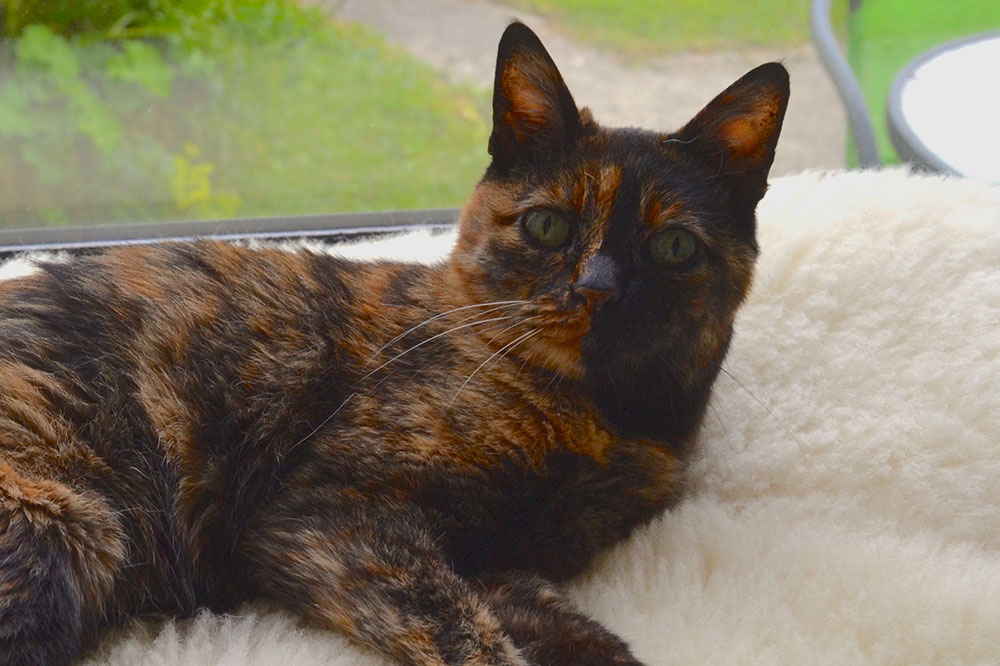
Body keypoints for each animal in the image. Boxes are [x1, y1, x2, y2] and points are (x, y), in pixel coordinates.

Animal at [0, 20, 788, 664]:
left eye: (673, 246)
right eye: (547, 227)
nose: (598, 289)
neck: (604, 420)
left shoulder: (499, 557)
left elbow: (572, 632)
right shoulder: (330, 514)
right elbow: (465, 635)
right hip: (64, 523)